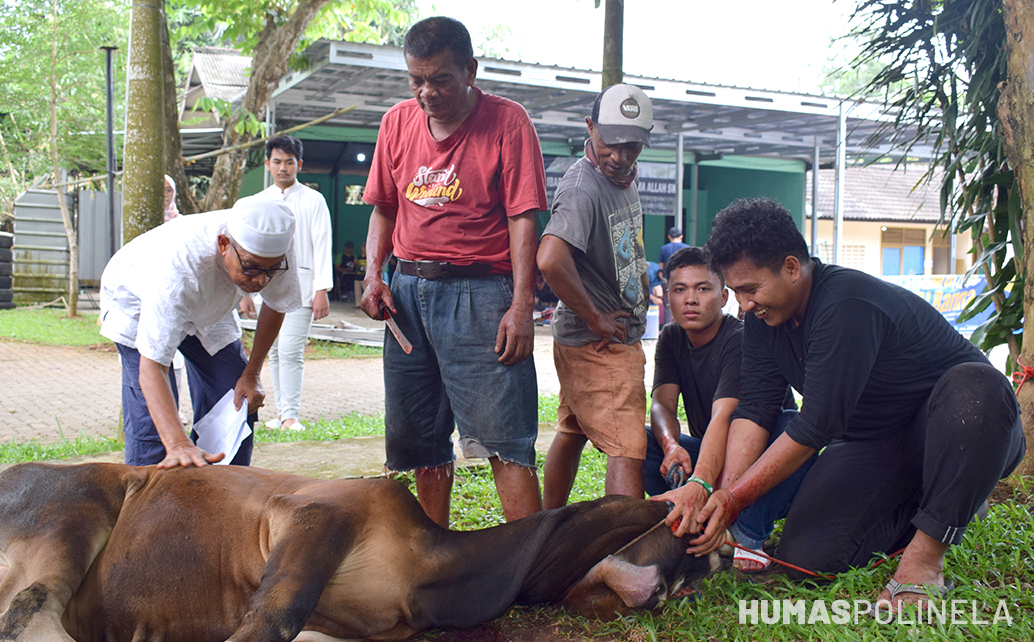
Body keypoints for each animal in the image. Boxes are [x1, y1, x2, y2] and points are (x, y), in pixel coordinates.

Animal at [0, 462, 718, 642]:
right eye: (686, 536)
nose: (719, 556)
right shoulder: (317, 511)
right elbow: (273, 617)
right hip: (73, 509)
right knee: (30, 614)